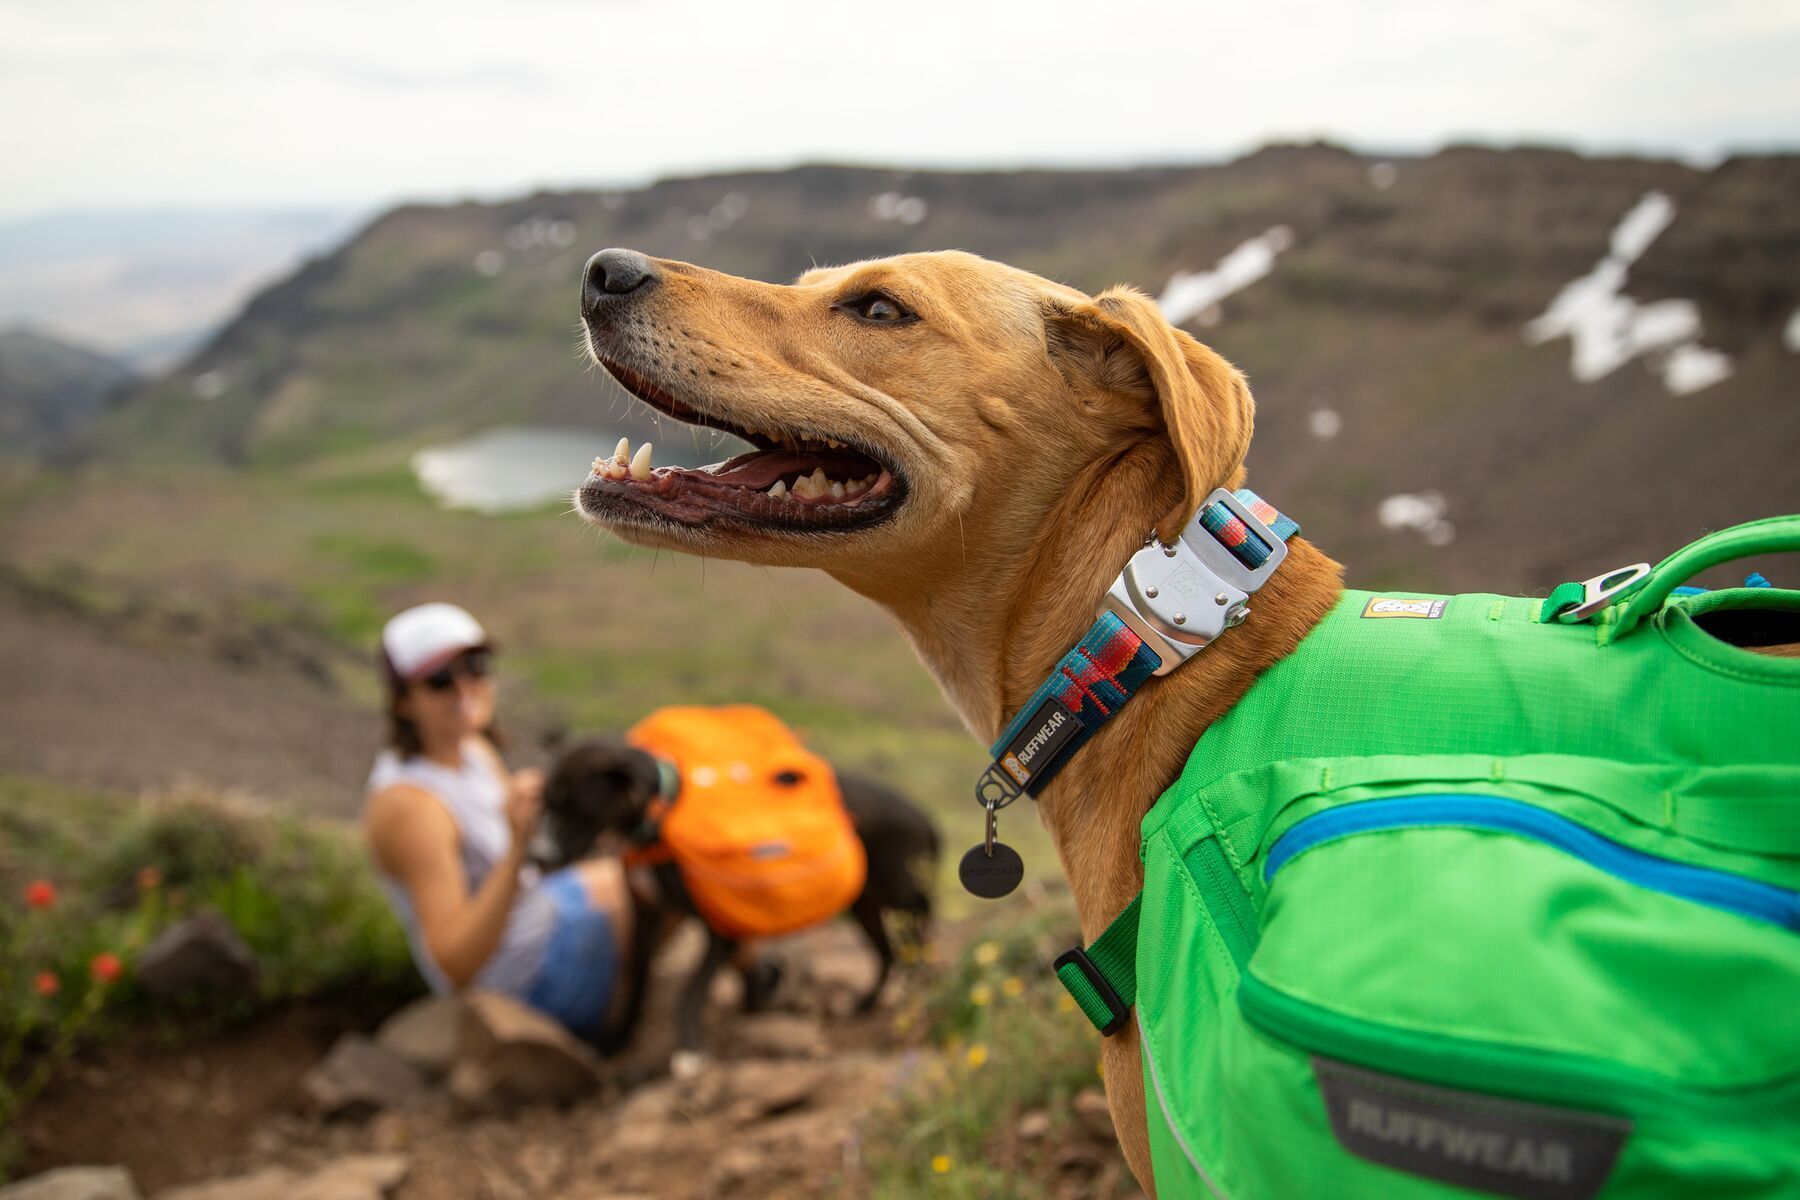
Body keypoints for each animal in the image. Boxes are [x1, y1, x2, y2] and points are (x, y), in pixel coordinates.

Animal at [525, 737, 936, 1072]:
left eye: (578, 810)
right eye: (544, 804)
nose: (538, 857)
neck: (658, 819)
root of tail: (926, 820)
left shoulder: (722, 929)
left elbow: (689, 994)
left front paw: (690, 1052)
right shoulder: (647, 915)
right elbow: (637, 979)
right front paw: (616, 1040)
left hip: (904, 902)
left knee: (918, 953)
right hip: (865, 904)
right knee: (887, 955)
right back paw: (862, 1005)